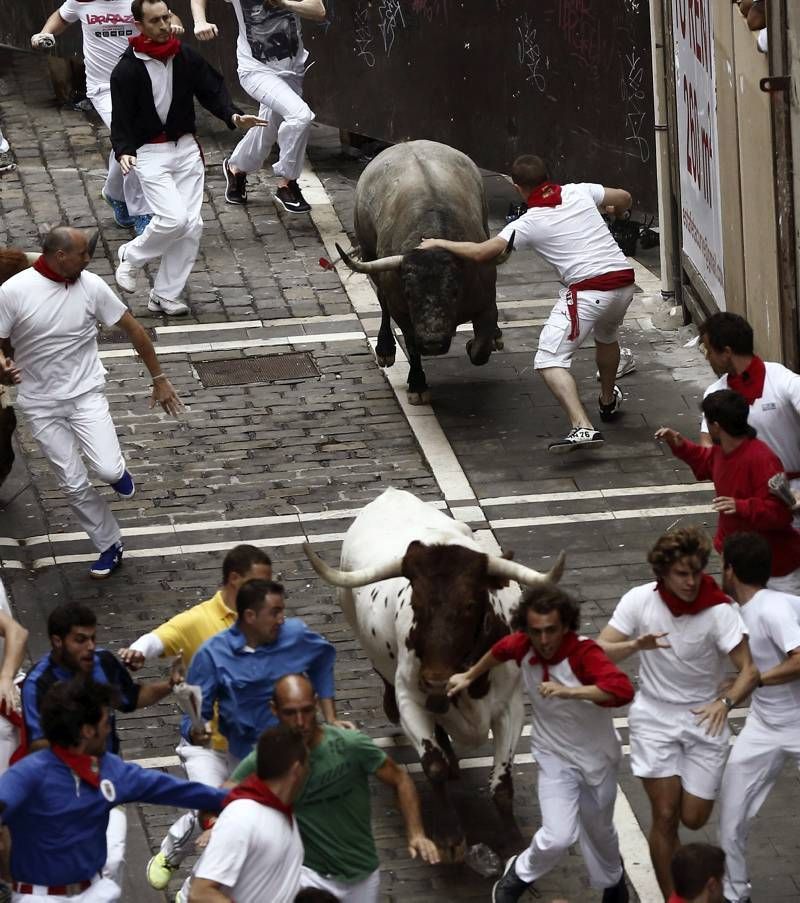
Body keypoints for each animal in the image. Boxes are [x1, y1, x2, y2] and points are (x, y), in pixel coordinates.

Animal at [304, 490, 564, 860]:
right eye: (417, 604)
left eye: (469, 605)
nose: (435, 680)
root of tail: (391, 493)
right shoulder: (411, 701)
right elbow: (434, 765)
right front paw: (452, 835)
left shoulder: (510, 708)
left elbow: (502, 783)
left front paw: (514, 841)